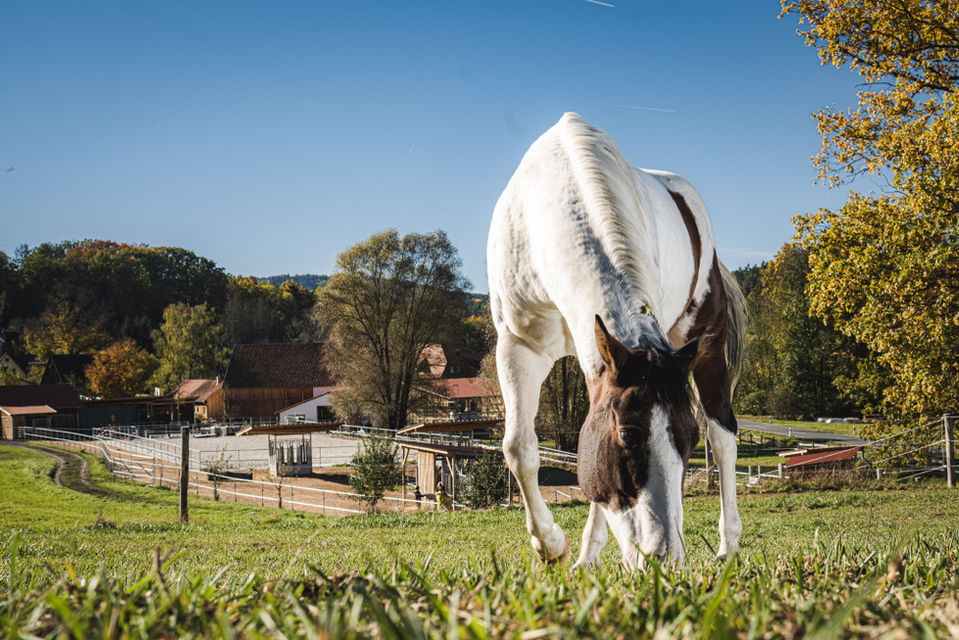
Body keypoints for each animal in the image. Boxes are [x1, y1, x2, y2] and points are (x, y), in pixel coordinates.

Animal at [486, 113, 746, 569]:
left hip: (705, 344)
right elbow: (519, 447)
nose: (663, 559)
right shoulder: (519, 345)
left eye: (688, 440)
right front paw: (553, 546)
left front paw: (566, 547)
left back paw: (727, 545)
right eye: (628, 435)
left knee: (723, 437)